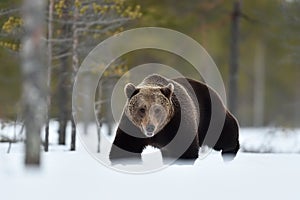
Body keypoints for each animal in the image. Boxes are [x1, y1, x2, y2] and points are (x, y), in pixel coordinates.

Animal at [109, 74, 240, 164]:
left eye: (158, 109)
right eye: (142, 109)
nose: (150, 127)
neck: (158, 133)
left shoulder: (178, 123)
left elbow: (185, 150)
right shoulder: (131, 127)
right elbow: (124, 149)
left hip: (210, 113)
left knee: (223, 131)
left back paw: (230, 151)